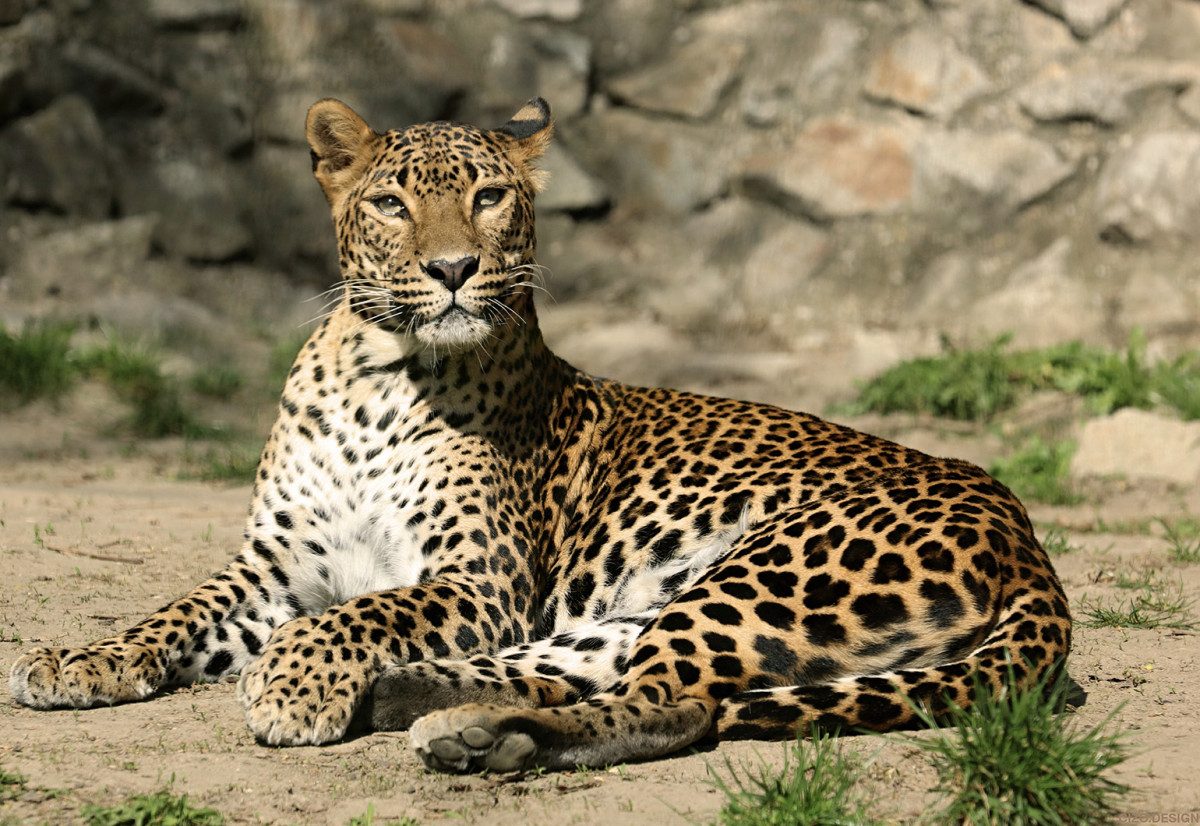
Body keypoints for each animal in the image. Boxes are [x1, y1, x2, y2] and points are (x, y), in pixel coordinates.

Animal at [9, 97, 1072, 773]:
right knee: (587, 671)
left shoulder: (476, 582)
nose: (450, 268)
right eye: (392, 202)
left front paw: (294, 685)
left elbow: (354, 613)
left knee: (679, 704)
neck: (374, 381)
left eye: (487, 197)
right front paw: (78, 661)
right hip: (656, 606)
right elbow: (171, 610)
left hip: (768, 571)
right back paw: (428, 706)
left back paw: (468, 734)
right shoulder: (270, 566)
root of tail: (1023, 532)